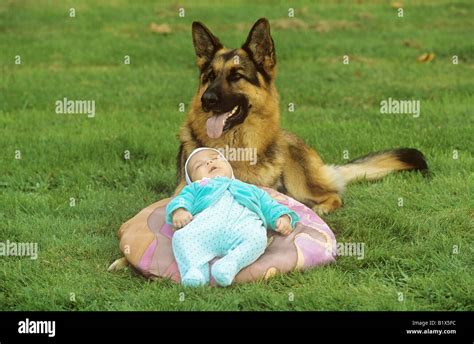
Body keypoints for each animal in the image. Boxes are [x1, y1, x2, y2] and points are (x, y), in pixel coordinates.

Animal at [176, 18, 428, 215]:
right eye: (210, 76)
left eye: (236, 76)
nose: (207, 100)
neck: (234, 149)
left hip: (299, 180)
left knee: (334, 195)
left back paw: (322, 207)